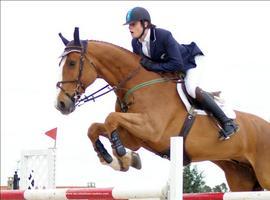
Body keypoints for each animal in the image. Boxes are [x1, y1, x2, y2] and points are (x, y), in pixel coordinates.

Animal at [54, 27, 270, 191]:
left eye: (72, 63)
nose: (61, 104)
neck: (136, 85)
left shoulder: (152, 129)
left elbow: (110, 118)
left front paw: (121, 154)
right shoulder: (135, 138)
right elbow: (95, 127)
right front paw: (116, 159)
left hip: (264, 174)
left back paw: (228, 127)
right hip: (240, 177)